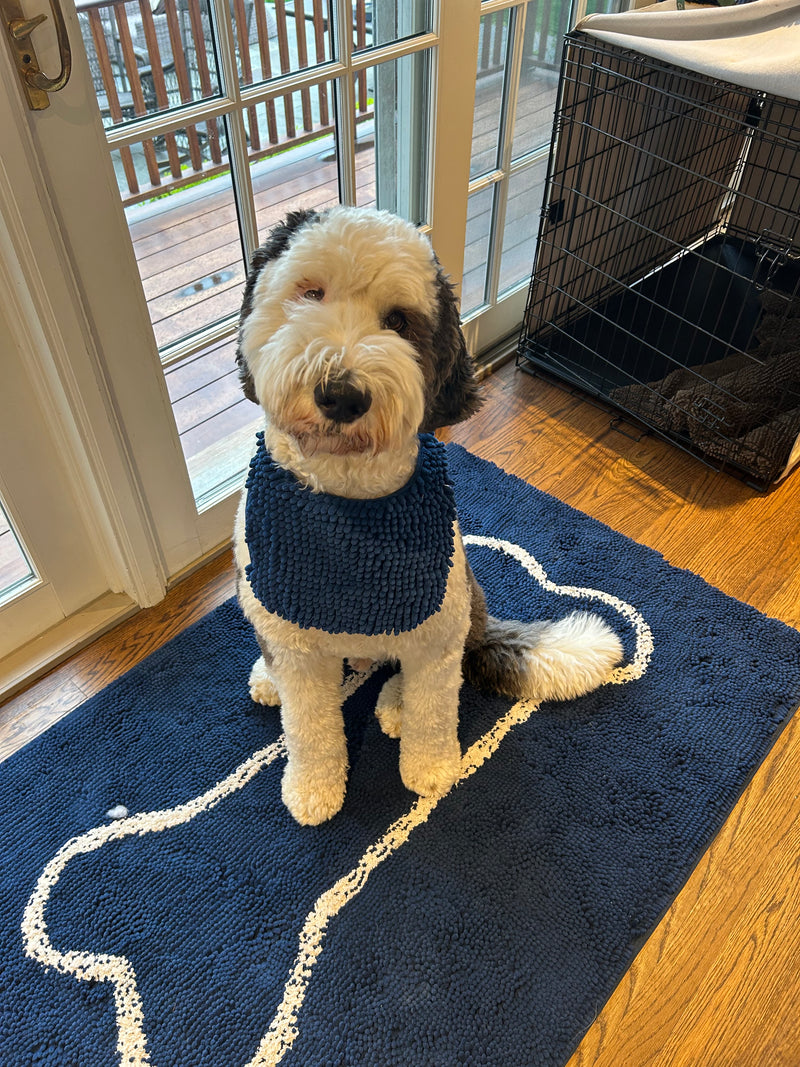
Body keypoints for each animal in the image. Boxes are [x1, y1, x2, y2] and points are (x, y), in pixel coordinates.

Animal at [233, 205, 627, 823]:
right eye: (310, 292)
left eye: (399, 321)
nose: (341, 394)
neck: (349, 498)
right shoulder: (294, 647)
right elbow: (310, 725)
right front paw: (313, 787)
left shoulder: (436, 630)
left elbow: (435, 705)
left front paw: (433, 769)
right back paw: (267, 677)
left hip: (461, 597)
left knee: (433, 669)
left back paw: (394, 702)